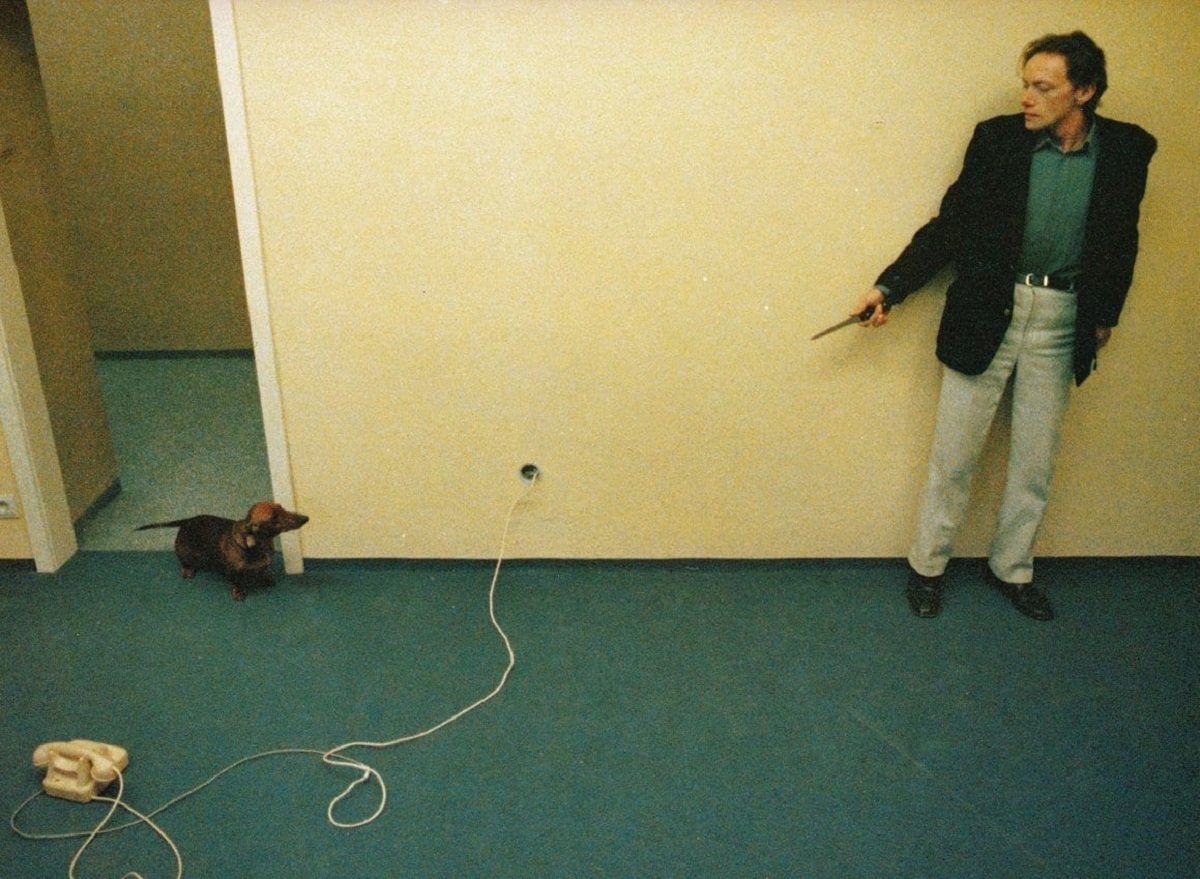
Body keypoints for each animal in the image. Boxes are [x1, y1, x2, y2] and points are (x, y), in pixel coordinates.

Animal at [136, 504, 309, 600]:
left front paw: (265, 578)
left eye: (281, 507)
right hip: (184, 552)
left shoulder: (263, 565)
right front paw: (239, 591)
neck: (259, 546)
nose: (305, 518)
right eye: (273, 518)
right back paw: (187, 569)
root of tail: (188, 520)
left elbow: (262, 572)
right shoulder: (233, 572)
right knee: (184, 561)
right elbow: (237, 582)